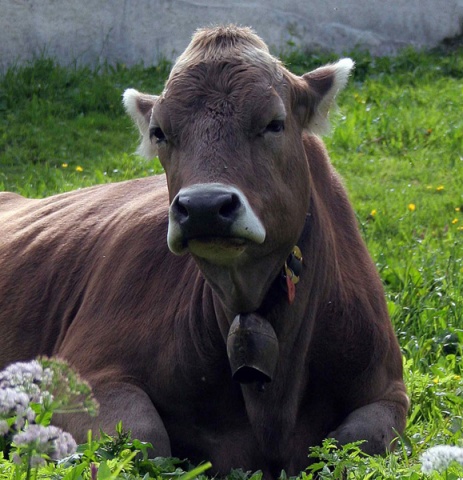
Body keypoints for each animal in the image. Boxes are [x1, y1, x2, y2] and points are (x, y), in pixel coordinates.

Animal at [0, 25, 406, 476]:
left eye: (275, 123)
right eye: (159, 132)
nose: (204, 207)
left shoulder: (388, 389)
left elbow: (355, 443)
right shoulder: (84, 372)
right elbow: (144, 439)